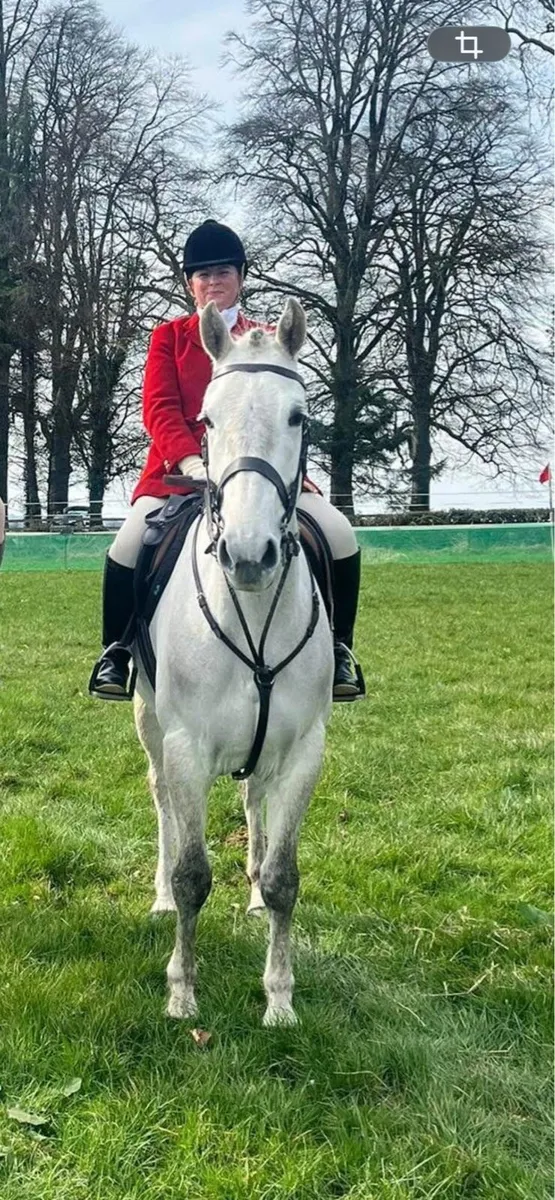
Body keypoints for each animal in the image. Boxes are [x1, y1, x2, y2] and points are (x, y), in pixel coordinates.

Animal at [134, 298, 334, 1026]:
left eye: (298, 416)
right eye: (208, 419)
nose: (248, 556)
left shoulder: (303, 751)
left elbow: (283, 878)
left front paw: (278, 999)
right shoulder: (187, 746)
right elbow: (194, 874)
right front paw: (181, 993)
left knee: (252, 801)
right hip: (149, 723)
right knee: (162, 799)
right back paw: (160, 897)